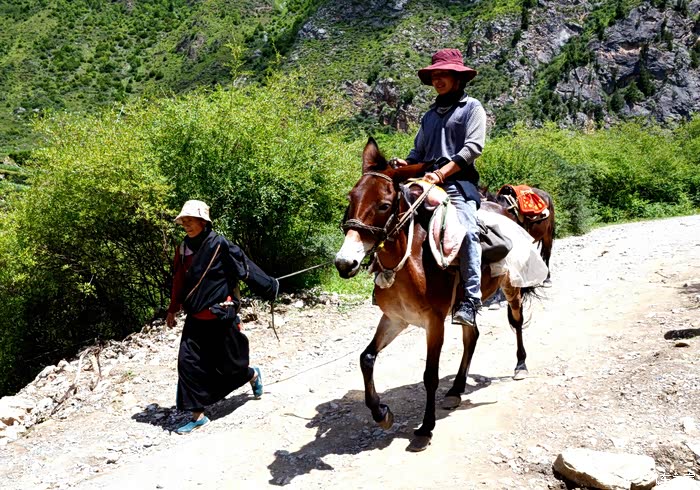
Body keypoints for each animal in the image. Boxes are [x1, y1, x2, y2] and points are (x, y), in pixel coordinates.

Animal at [335, 138, 537, 452]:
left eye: (383, 205)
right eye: (351, 197)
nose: (345, 263)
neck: (409, 261)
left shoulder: (434, 322)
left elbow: (430, 374)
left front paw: (425, 428)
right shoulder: (395, 318)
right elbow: (366, 357)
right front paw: (381, 413)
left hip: (511, 286)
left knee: (515, 321)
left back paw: (520, 365)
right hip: (466, 303)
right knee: (471, 335)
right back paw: (456, 389)